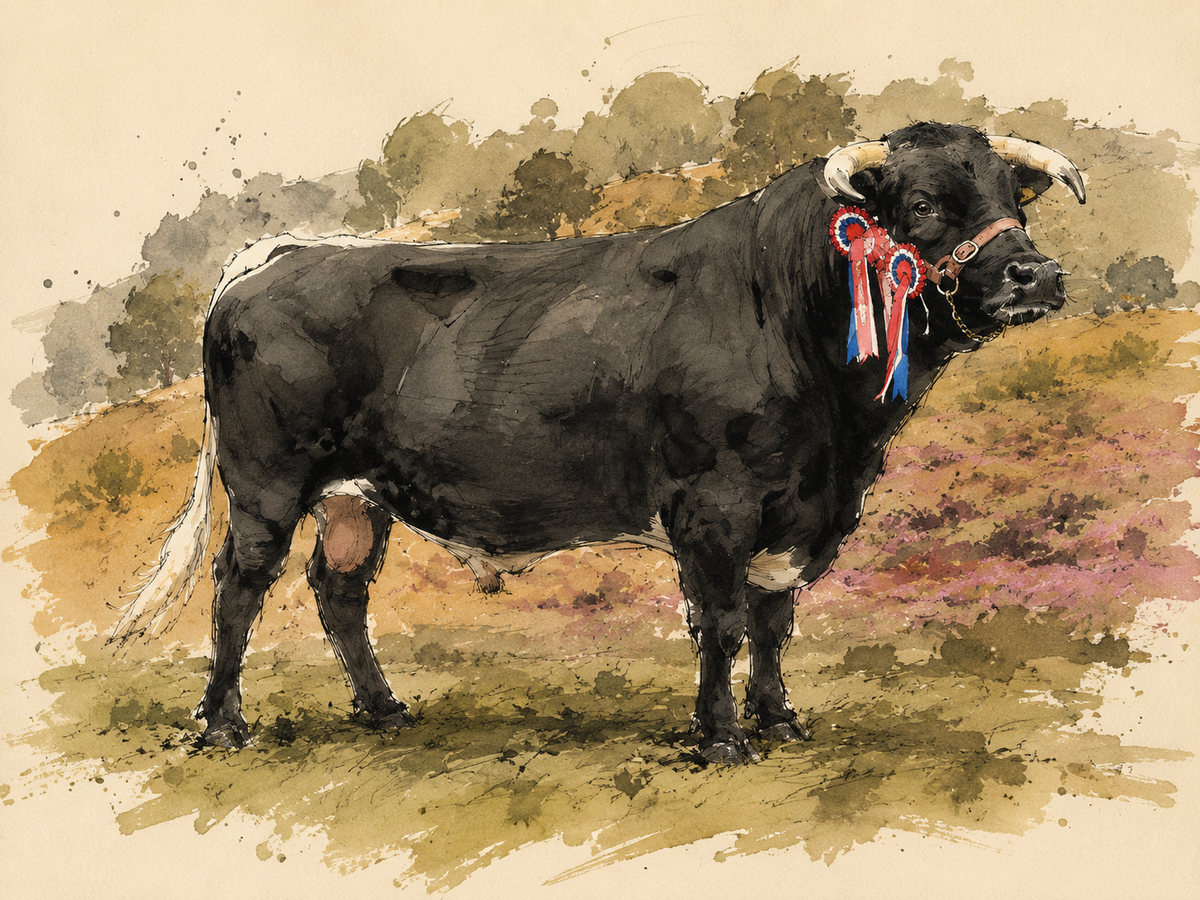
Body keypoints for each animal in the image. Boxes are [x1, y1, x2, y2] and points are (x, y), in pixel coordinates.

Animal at [112, 123, 1086, 765]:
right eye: (921, 203)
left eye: (1012, 200)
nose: (1036, 273)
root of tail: (288, 253)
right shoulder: (714, 505)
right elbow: (722, 622)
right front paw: (722, 741)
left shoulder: (806, 507)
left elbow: (775, 621)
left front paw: (779, 723)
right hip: (268, 482)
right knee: (239, 588)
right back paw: (223, 725)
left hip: (357, 496)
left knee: (338, 590)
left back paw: (384, 711)